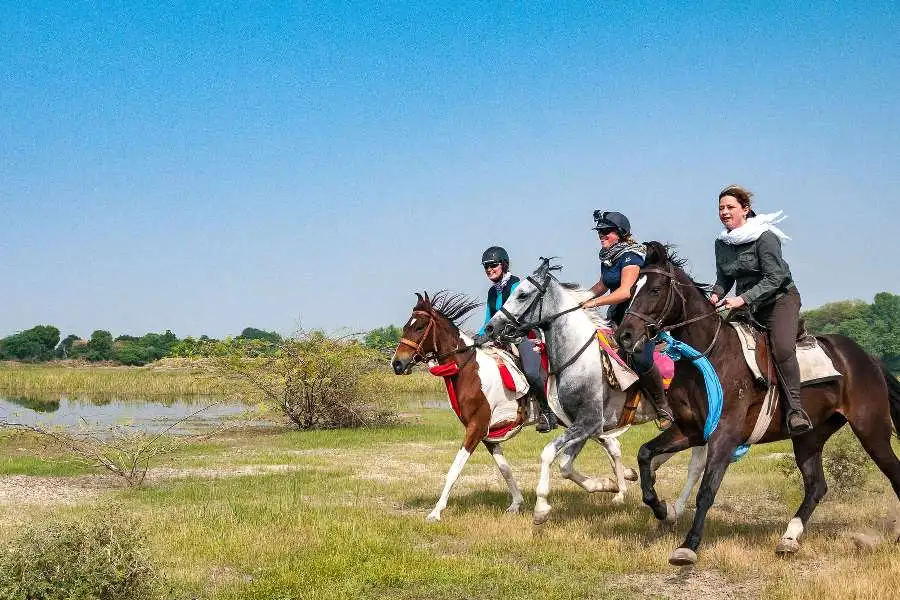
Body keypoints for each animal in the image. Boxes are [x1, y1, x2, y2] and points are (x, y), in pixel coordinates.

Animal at [392, 290, 640, 520]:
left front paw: (436, 511)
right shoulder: (487, 434)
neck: (469, 369)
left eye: (419, 327)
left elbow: (455, 469)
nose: (397, 363)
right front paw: (516, 503)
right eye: (405, 326)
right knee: (611, 444)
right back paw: (620, 482)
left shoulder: (476, 427)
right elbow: (505, 470)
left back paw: (619, 488)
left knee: (612, 445)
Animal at [482, 258, 708, 524]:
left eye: (522, 294)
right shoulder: (583, 425)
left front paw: (541, 508)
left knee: (697, 462)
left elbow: (548, 453)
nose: (490, 327)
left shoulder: (588, 422)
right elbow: (566, 466)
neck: (578, 357)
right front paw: (609, 485)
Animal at [616, 241, 900, 564]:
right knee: (816, 485)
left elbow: (707, 489)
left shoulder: (724, 435)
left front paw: (689, 545)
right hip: (810, 436)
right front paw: (662, 509)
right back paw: (789, 538)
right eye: (632, 288)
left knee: (893, 473)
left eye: (655, 289)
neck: (708, 354)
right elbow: (645, 454)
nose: (624, 335)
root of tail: (868, 358)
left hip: (871, 430)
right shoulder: (691, 430)